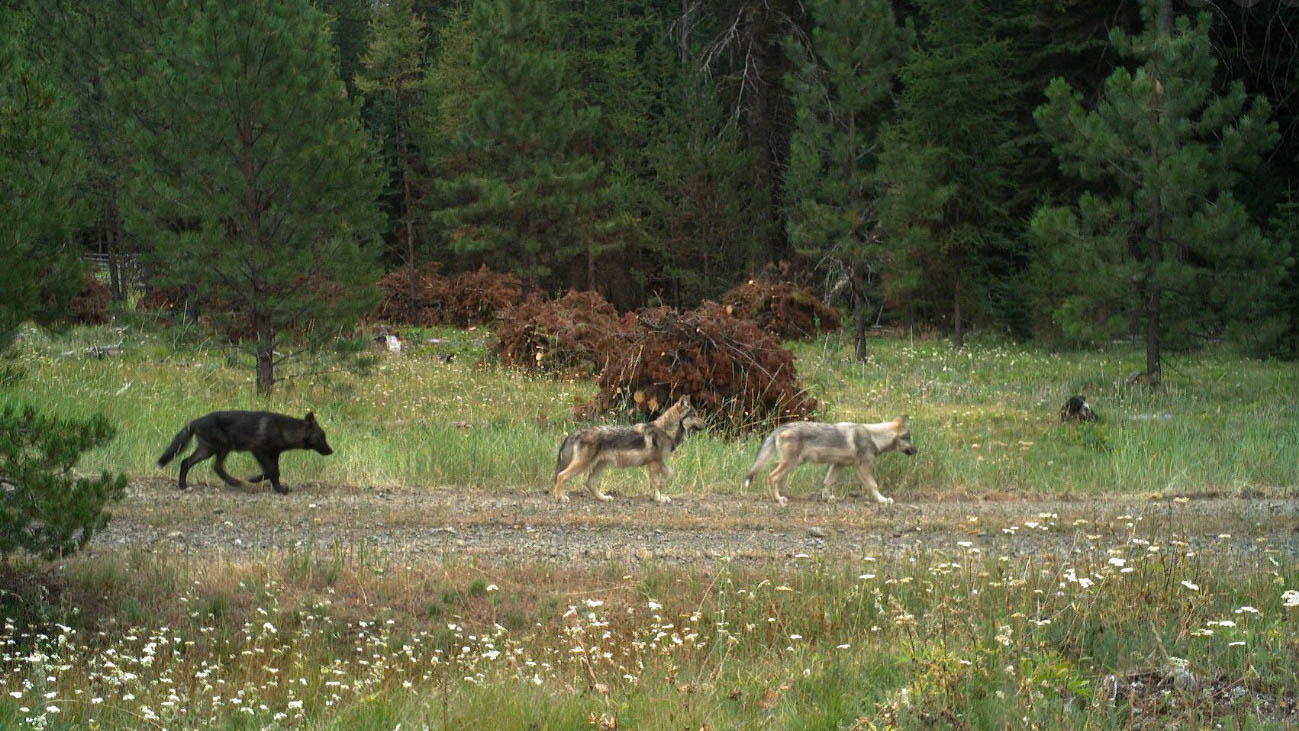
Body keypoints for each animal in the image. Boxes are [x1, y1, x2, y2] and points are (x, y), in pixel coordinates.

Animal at [157, 410, 333, 494]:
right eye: (322, 437)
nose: (331, 451)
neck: (282, 429)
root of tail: (194, 422)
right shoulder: (259, 450)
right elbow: (273, 472)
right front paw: (277, 489)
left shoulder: (273, 454)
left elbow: (273, 472)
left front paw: (266, 483)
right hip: (222, 447)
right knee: (216, 467)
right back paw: (235, 482)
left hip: (207, 450)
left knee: (185, 462)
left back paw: (182, 485)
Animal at [553, 395, 705, 504]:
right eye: (695, 415)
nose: (705, 424)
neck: (666, 430)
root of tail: (578, 432)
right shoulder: (654, 463)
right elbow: (656, 483)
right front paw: (658, 498)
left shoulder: (658, 462)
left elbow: (668, 475)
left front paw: (658, 495)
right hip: (582, 465)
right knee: (561, 475)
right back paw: (561, 497)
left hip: (600, 465)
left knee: (588, 483)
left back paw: (603, 498)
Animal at [743, 416, 916, 505]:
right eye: (908, 438)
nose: (916, 451)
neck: (874, 436)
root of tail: (781, 427)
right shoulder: (862, 466)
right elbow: (873, 485)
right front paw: (883, 500)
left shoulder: (838, 464)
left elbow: (828, 482)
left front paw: (827, 498)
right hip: (791, 463)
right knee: (771, 477)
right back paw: (778, 499)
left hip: (793, 463)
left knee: (776, 474)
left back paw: (784, 494)